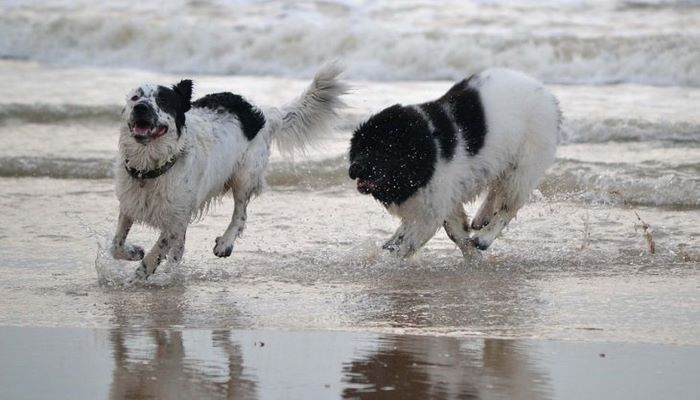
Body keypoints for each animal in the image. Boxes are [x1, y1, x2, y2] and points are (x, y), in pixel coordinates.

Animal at [111, 63, 347, 279]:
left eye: (163, 101)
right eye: (135, 98)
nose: (141, 107)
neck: (151, 167)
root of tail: (262, 114)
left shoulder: (176, 218)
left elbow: (158, 249)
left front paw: (141, 273)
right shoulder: (130, 204)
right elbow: (116, 245)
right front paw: (134, 253)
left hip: (245, 177)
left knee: (240, 215)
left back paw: (224, 243)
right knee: (180, 247)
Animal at [348, 68, 559, 258]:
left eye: (380, 148)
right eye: (359, 148)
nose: (353, 168)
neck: (426, 146)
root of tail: (548, 95)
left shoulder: (433, 205)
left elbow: (410, 243)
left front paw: (388, 261)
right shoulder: (442, 199)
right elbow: (455, 232)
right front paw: (472, 255)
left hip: (524, 164)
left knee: (509, 205)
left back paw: (484, 237)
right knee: (496, 188)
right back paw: (482, 216)